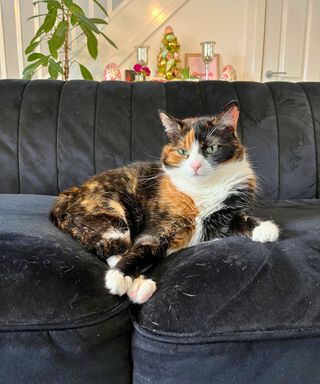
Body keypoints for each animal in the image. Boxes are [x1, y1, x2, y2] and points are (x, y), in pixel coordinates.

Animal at [50, 101, 278, 304]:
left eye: (212, 148)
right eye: (182, 152)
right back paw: (138, 284)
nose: (195, 166)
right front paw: (120, 276)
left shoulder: (226, 212)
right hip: (113, 217)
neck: (202, 190)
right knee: (111, 248)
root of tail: (69, 193)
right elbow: (142, 247)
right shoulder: (159, 227)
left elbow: (239, 218)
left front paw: (265, 228)